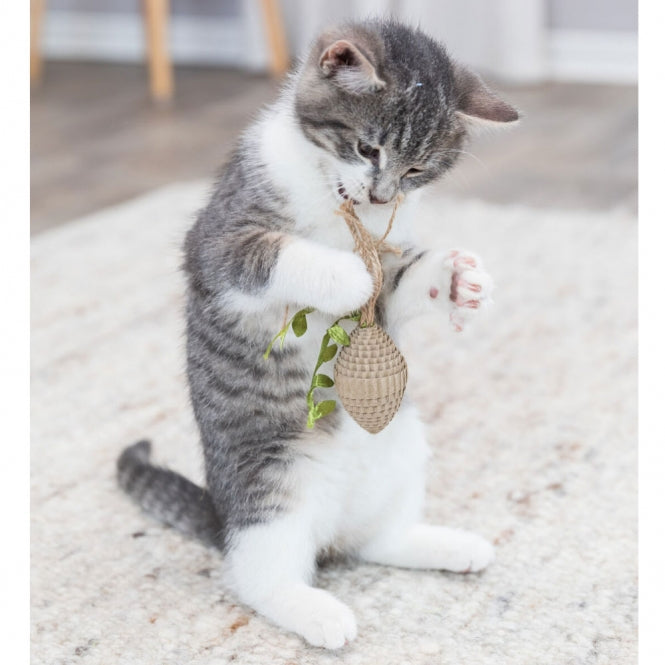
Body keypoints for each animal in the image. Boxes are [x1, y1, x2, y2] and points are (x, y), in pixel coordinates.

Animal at [116, 18, 516, 644]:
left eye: (416, 170)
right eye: (367, 148)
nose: (380, 195)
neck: (334, 201)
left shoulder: (386, 276)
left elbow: (396, 288)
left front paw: (457, 281)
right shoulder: (213, 242)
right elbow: (272, 253)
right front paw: (340, 273)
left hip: (401, 449)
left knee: (376, 541)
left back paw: (444, 544)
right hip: (271, 485)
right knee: (255, 575)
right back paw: (317, 611)